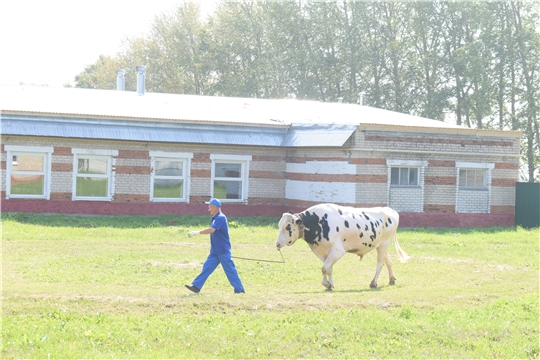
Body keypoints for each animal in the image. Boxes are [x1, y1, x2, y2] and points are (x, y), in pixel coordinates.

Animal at [274, 204, 410, 292]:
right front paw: (330, 285)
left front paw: (327, 284)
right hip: (380, 245)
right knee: (388, 261)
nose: (277, 244)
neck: (318, 222)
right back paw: (391, 280)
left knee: (380, 263)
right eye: (279, 225)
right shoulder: (322, 251)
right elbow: (328, 269)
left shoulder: (338, 251)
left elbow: (324, 268)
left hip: (384, 244)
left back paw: (373, 283)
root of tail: (391, 210)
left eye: (287, 227)